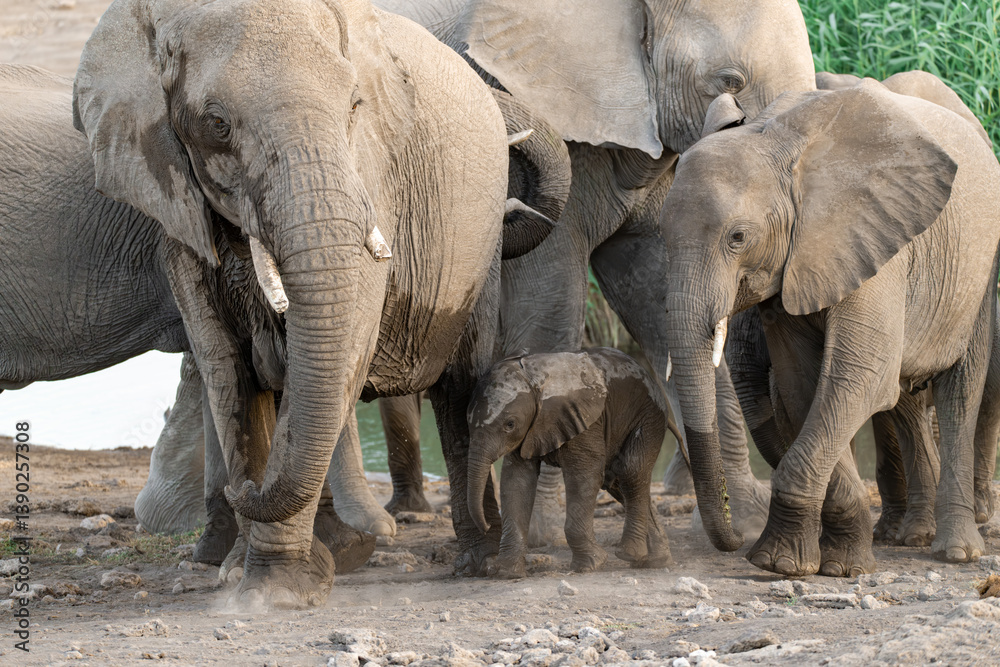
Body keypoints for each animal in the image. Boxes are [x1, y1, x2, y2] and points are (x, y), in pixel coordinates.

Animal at [71, 0, 571, 608]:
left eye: (355, 106)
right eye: (216, 124)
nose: (242, 490)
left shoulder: (371, 179)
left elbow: (337, 341)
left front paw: (276, 590)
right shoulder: (173, 207)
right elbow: (228, 371)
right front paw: (246, 574)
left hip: (480, 248)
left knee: (458, 390)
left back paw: (478, 562)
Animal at [466, 348, 672, 577]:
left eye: (510, 424)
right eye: (466, 421)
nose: (485, 527)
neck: (534, 379)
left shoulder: (584, 420)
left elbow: (584, 475)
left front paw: (590, 565)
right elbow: (516, 482)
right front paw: (507, 573)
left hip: (649, 414)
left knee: (630, 471)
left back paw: (631, 554)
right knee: (618, 482)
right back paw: (655, 560)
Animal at [660, 77, 1000, 577]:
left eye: (738, 238)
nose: (731, 541)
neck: (776, 142)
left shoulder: (873, 236)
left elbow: (855, 377)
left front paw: (778, 563)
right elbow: (807, 384)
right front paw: (831, 562)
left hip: (978, 270)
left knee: (961, 390)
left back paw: (955, 550)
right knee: (902, 395)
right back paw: (913, 535)